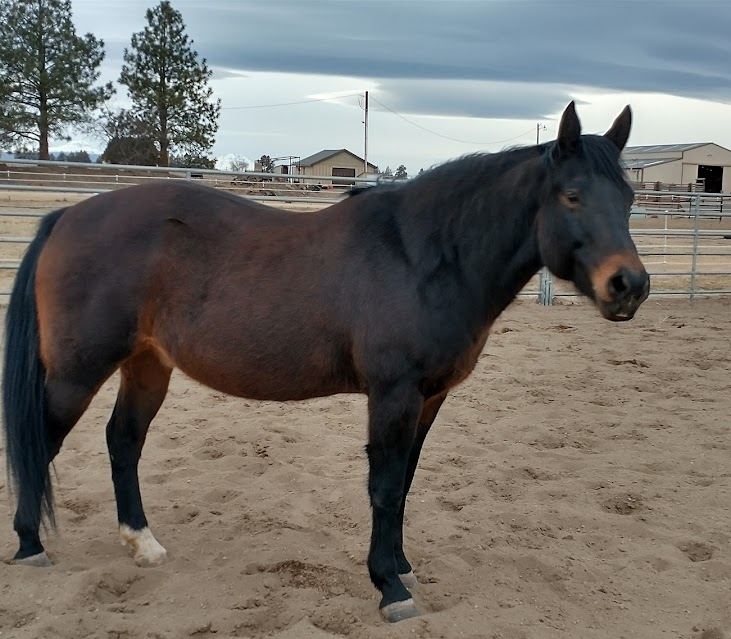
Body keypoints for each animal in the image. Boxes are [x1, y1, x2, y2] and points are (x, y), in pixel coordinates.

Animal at [2, 102, 649, 622]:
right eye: (571, 195)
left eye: (629, 199)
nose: (630, 286)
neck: (425, 255)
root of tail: (66, 217)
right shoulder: (394, 395)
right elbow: (384, 487)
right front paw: (390, 589)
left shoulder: (429, 398)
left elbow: (405, 483)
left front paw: (401, 565)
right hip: (76, 374)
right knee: (40, 442)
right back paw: (30, 546)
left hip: (146, 366)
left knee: (123, 441)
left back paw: (142, 544)